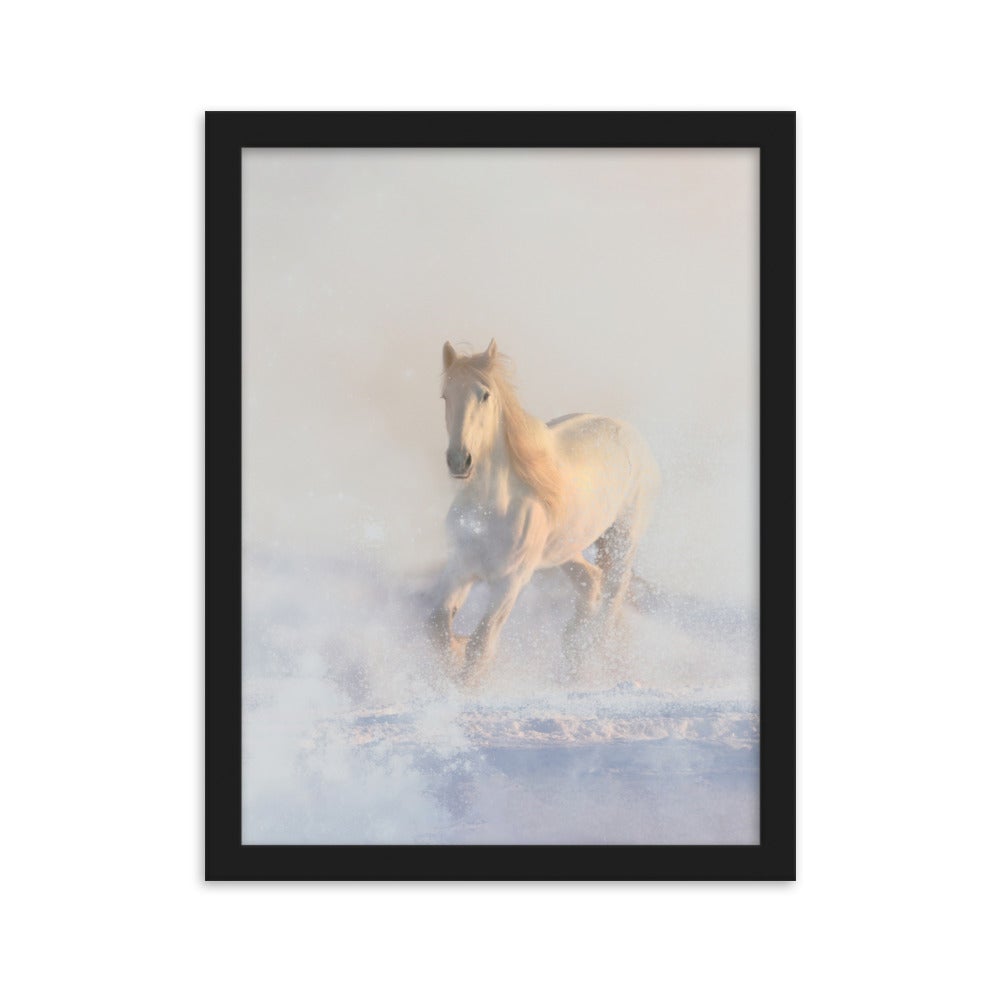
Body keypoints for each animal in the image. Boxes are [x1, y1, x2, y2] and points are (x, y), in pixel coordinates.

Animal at [427, 339, 660, 685]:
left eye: (485, 394)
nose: (459, 460)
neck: (491, 510)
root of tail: (631, 435)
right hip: (566, 549)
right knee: (592, 582)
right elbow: (438, 627)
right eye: (446, 395)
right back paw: (573, 653)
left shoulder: (511, 581)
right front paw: (454, 656)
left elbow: (481, 646)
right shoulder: (460, 568)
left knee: (611, 599)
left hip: (622, 540)